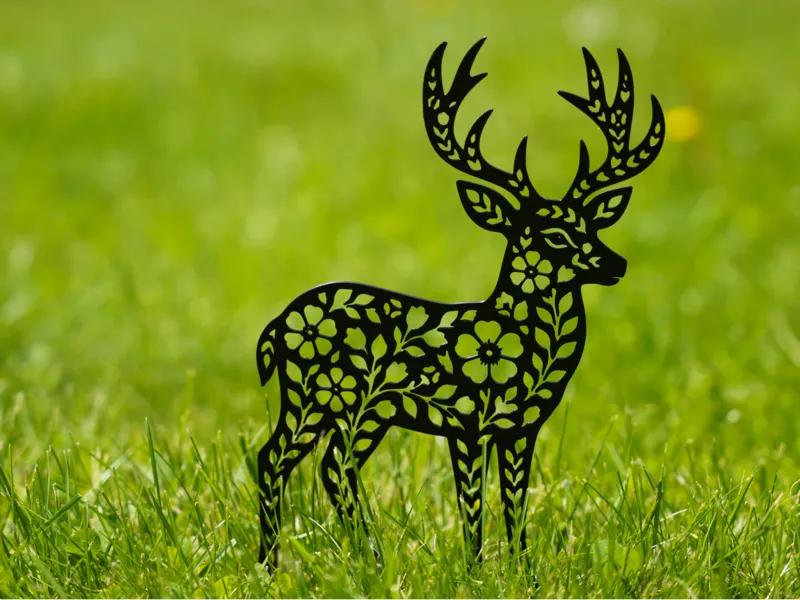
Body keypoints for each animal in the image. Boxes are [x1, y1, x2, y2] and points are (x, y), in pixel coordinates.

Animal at [255, 38, 664, 568]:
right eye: (552, 235)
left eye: (592, 226)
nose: (618, 264)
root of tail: (277, 325)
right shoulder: (468, 417)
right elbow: (471, 502)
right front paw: (475, 570)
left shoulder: (520, 428)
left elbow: (514, 501)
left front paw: (523, 571)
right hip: (328, 394)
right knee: (291, 460)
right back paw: (301, 565)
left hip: (356, 409)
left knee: (322, 465)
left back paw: (346, 561)